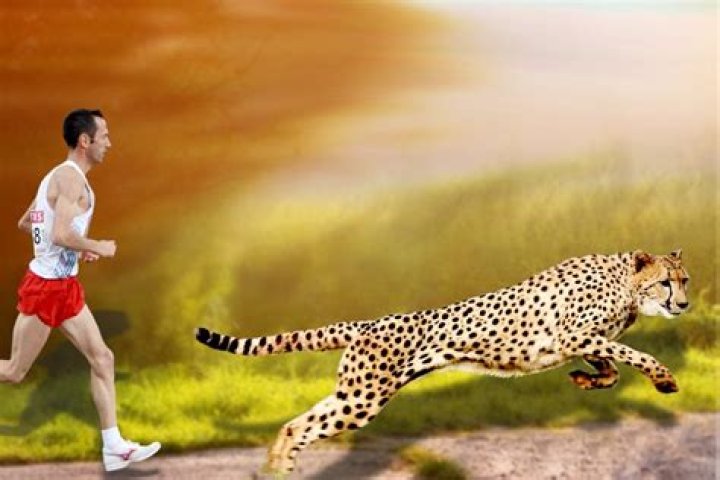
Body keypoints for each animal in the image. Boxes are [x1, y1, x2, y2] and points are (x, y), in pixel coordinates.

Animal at [195, 249, 690, 474]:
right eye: (666, 282)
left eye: (685, 280)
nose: (684, 304)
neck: (625, 284)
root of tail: (372, 322)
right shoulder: (574, 334)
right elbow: (631, 353)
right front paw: (663, 378)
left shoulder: (581, 341)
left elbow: (610, 366)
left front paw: (587, 381)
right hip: (362, 398)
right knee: (303, 425)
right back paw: (278, 469)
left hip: (353, 394)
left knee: (295, 424)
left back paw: (276, 469)